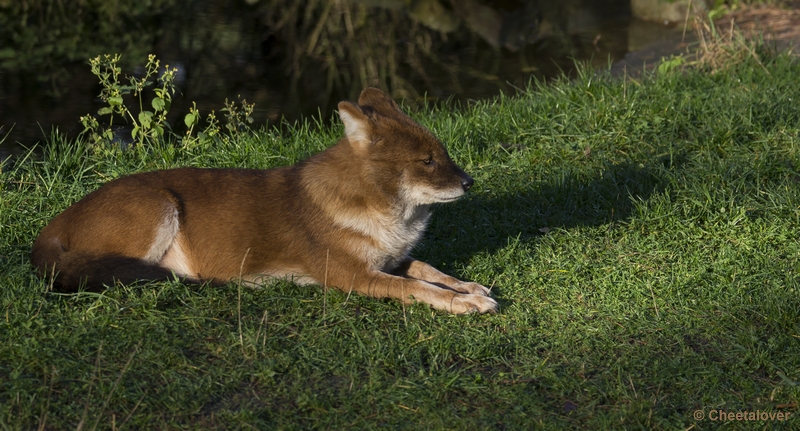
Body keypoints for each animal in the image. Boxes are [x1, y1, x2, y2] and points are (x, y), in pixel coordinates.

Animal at [32, 88, 500, 314]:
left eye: (443, 153)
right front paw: (464, 303)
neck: (391, 217)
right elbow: (417, 287)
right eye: (427, 161)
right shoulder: (354, 276)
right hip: (157, 206)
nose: (469, 182)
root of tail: (51, 227)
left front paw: (468, 286)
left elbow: (428, 269)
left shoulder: (389, 258)